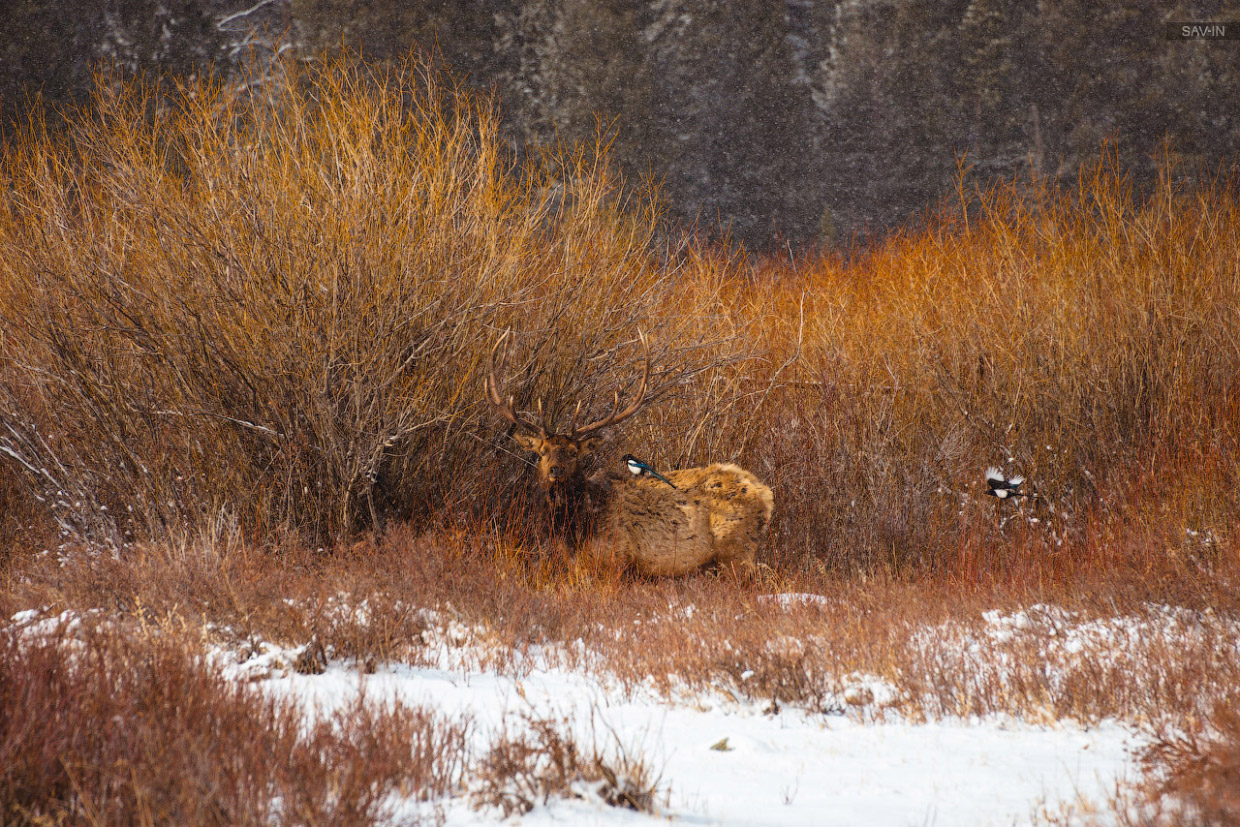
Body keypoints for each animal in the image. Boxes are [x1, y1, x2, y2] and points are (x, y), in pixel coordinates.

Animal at [486, 329, 768, 575]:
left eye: (575, 453)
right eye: (542, 451)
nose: (556, 470)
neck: (575, 531)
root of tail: (766, 493)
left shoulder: (617, 558)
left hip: (735, 550)